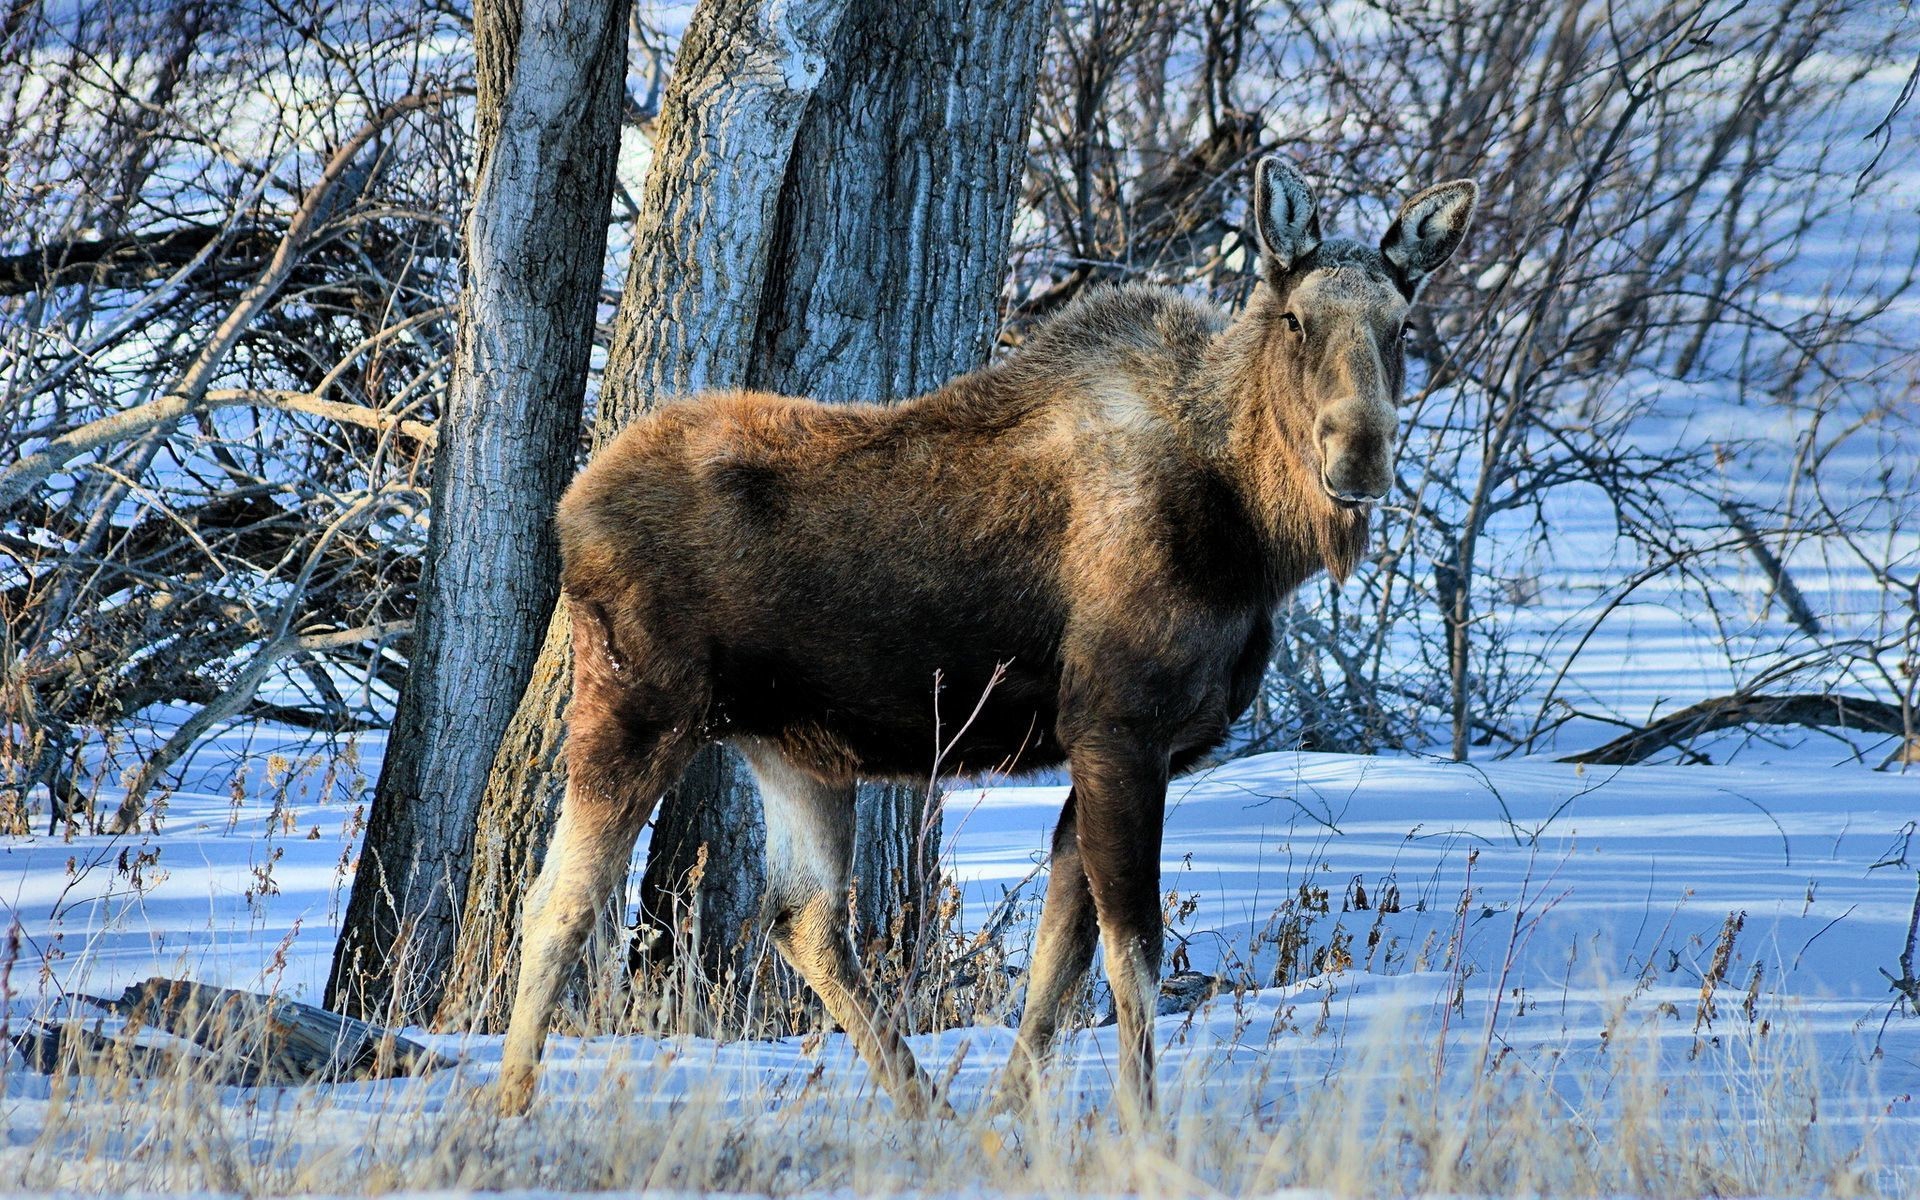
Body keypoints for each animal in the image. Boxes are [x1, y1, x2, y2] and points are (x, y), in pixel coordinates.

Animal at [503, 151, 1474, 1113]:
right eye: (1298, 320)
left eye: (1400, 325)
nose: (1359, 457)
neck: (1253, 539)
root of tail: (570, 508)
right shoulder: (1118, 727)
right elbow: (1132, 957)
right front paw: (1142, 1127)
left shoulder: (1116, 745)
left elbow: (1059, 963)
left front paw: (1006, 1120)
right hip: (636, 703)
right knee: (558, 900)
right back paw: (509, 1104)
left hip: (791, 747)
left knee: (802, 917)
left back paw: (927, 1108)